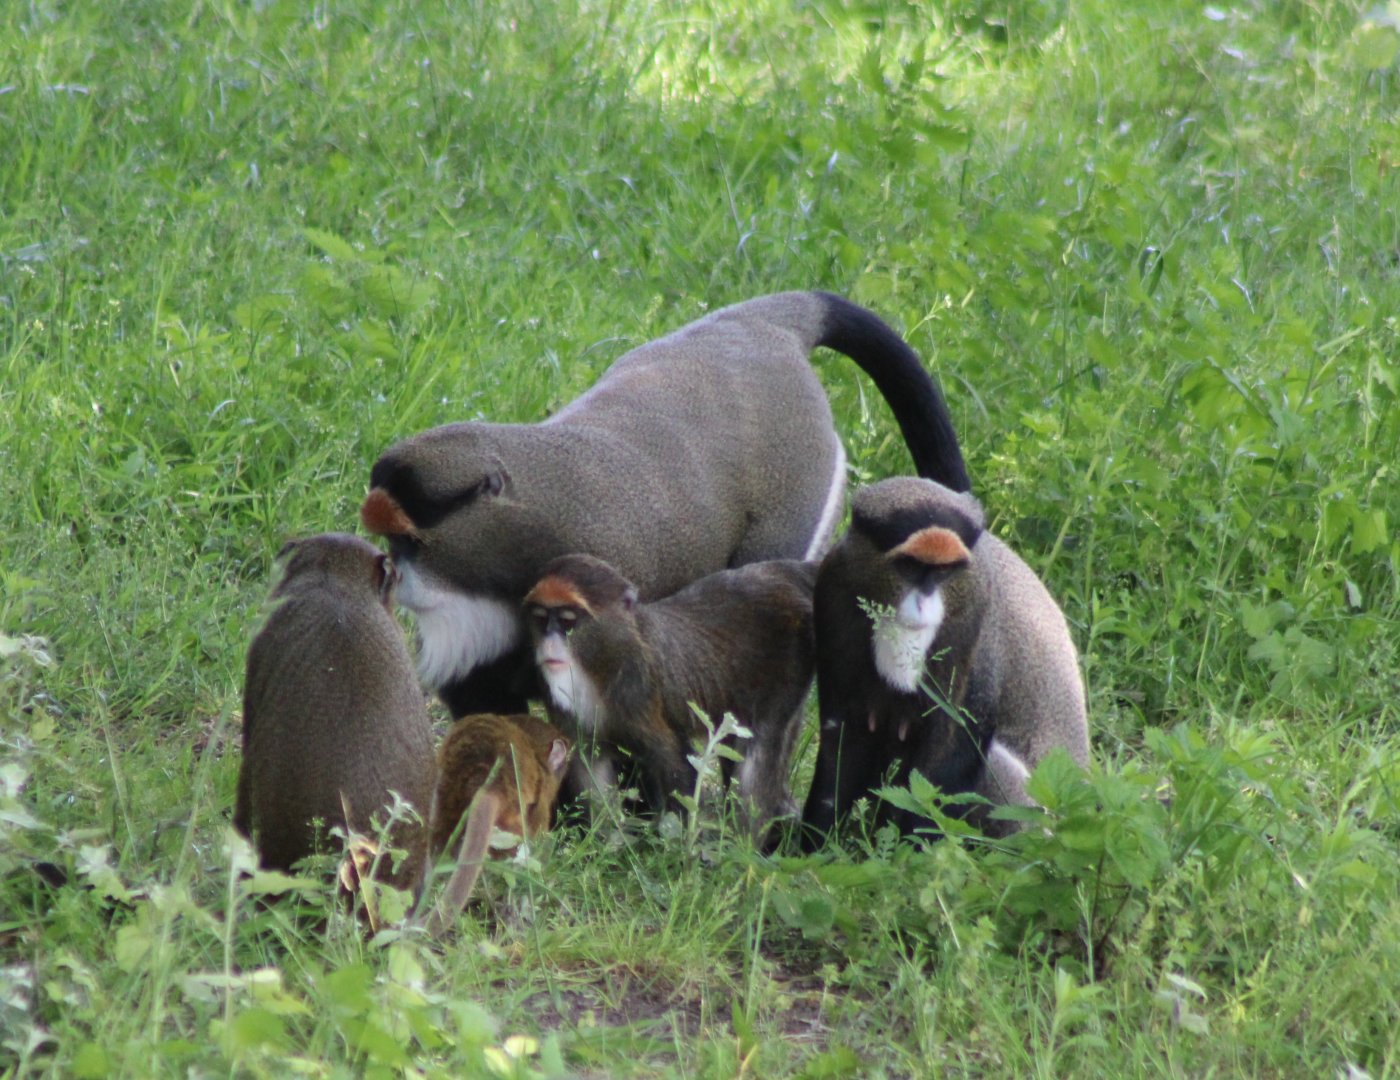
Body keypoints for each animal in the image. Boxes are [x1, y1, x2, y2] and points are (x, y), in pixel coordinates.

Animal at [522, 553, 817, 843]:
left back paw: (743, 847)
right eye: (541, 618)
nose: (548, 643)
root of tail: (786, 574)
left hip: (789, 664)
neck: (598, 666)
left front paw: (684, 850)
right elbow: (591, 773)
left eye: (567, 622)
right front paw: (605, 844)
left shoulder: (639, 691)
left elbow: (676, 768)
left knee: (760, 749)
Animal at [799, 476, 1090, 848]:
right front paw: (809, 847)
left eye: (943, 571)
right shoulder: (833, 587)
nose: (923, 604)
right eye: (910, 566)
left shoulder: (978, 625)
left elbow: (951, 749)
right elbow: (843, 736)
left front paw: (912, 854)